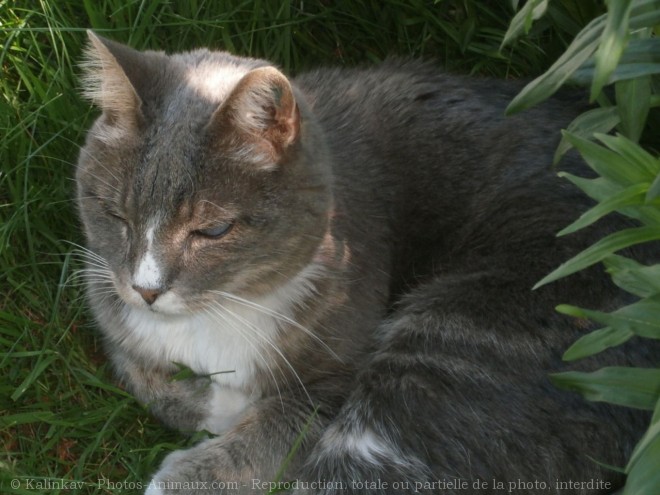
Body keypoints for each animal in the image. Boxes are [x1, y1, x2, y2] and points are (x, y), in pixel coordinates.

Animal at [76, 32, 656, 495]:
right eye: (115, 214)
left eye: (212, 231)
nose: (146, 289)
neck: (219, 310)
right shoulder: (110, 309)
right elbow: (141, 375)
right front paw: (216, 402)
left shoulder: (344, 357)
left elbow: (287, 421)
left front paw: (191, 465)